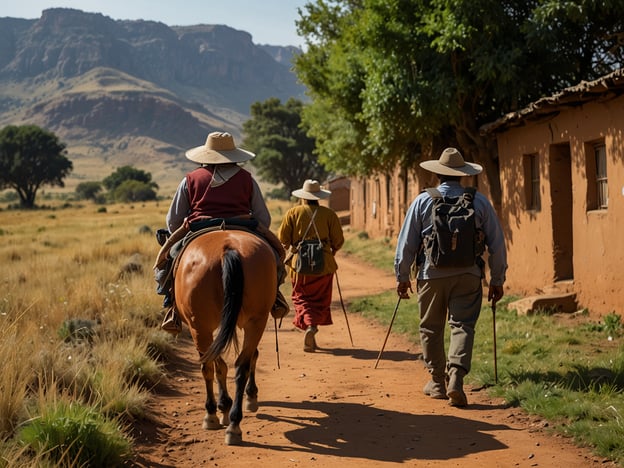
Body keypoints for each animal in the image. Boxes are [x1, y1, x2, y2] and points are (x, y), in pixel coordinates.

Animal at [173, 229, 276, 446]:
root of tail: (229, 249)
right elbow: (240, 360)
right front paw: (236, 403)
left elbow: (216, 366)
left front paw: (222, 406)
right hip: (257, 320)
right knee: (242, 365)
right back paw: (234, 424)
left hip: (199, 325)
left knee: (208, 367)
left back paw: (212, 414)